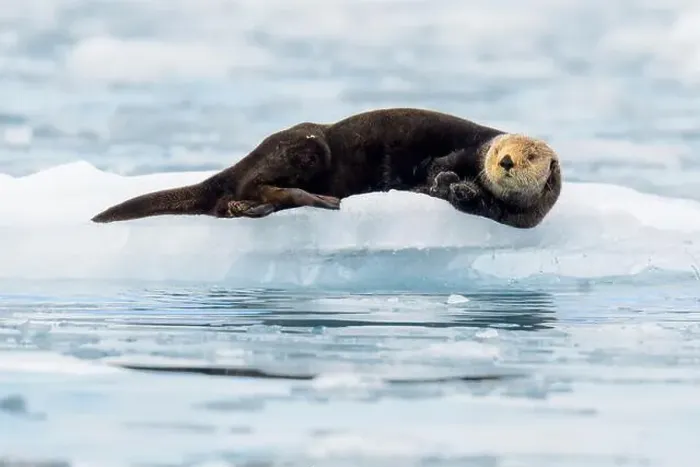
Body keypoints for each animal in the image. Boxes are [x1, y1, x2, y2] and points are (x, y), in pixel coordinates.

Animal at [91, 108, 562, 229]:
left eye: (530, 156)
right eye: (501, 149)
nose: (504, 160)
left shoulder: (516, 217)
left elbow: (482, 205)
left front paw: (459, 191)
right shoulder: (465, 150)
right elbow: (438, 167)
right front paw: (445, 182)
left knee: (230, 202)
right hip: (308, 146)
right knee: (253, 185)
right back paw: (318, 200)